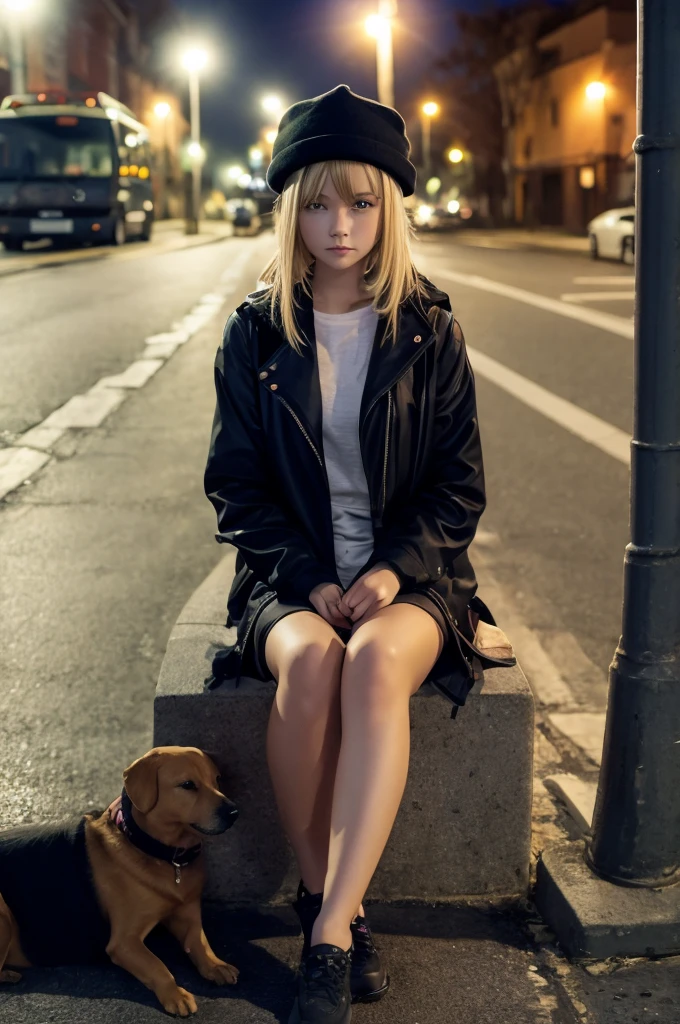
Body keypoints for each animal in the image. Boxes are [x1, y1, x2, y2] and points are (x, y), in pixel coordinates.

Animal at [0, 745, 238, 1015]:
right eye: (188, 785)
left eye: (217, 780)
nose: (234, 812)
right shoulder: (124, 942)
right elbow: (157, 965)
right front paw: (175, 993)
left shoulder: (188, 916)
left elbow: (200, 944)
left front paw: (215, 965)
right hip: (3, 912)